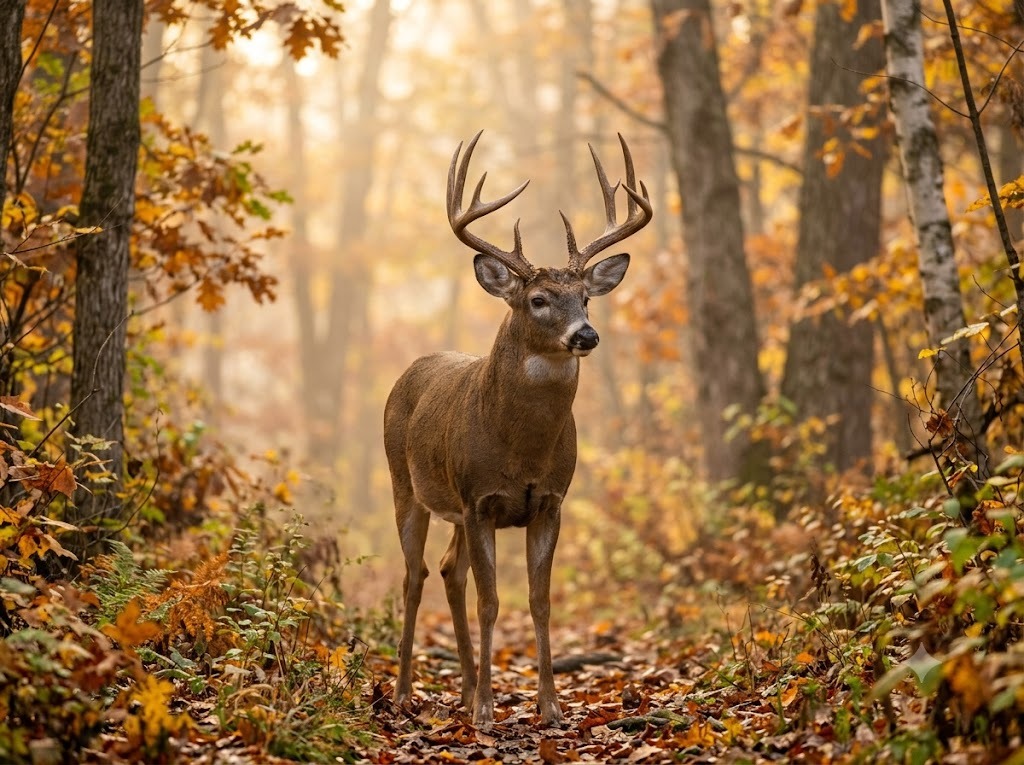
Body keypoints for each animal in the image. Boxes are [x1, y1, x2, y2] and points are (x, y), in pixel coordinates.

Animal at [383, 130, 652, 729]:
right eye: (538, 299)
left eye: (586, 297)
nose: (586, 335)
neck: (521, 449)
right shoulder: (480, 498)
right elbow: (492, 603)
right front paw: (488, 709)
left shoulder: (549, 501)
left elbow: (539, 600)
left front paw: (549, 705)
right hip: (405, 485)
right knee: (414, 577)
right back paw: (406, 692)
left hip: (454, 509)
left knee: (449, 571)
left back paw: (460, 690)